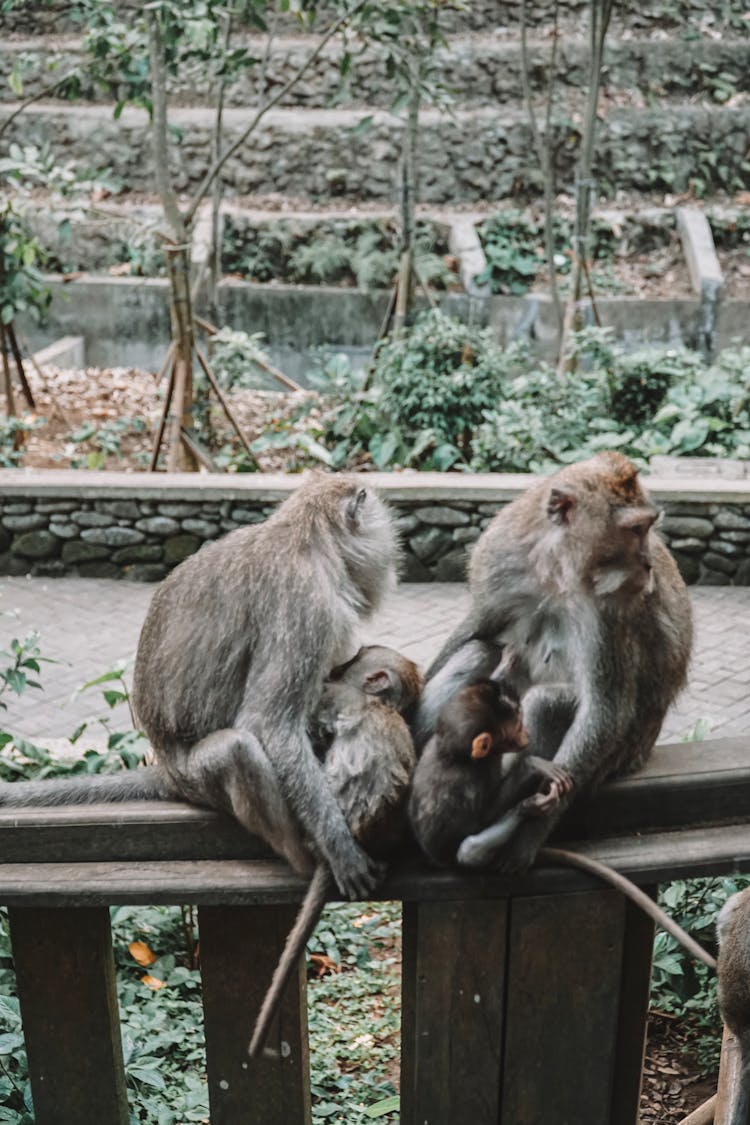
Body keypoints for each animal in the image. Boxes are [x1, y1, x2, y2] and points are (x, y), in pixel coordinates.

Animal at [2, 474, 402, 904]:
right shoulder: (308, 607)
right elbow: (270, 725)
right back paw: (303, 857)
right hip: (198, 777)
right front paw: (339, 847)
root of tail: (166, 769)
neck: (305, 537)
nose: (392, 552)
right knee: (239, 749)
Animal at [407, 675, 571, 868]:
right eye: (518, 727)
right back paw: (528, 808)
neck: (455, 754)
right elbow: (484, 818)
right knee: (468, 850)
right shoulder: (473, 777)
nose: (526, 733)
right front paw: (533, 767)